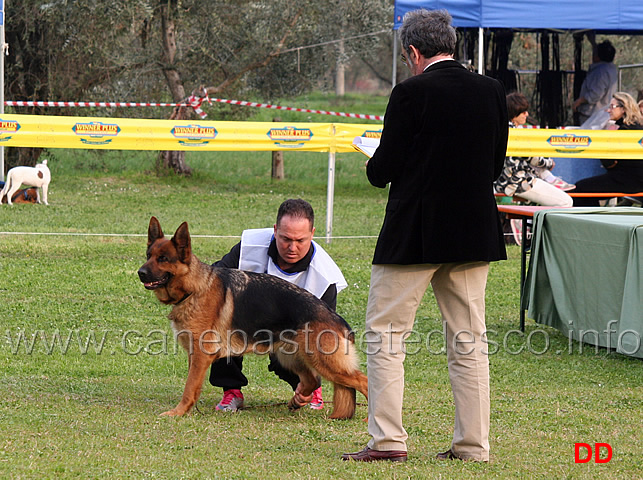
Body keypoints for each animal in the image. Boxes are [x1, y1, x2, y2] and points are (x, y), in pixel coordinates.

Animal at [137, 218, 368, 420]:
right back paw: (296, 402)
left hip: (325, 362)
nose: (140, 272)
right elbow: (192, 386)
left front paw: (177, 413)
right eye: (149, 255)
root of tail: (336, 317)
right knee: (312, 380)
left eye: (163, 258)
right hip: (290, 357)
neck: (194, 288)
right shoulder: (195, 355)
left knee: (363, 381)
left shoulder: (202, 355)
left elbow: (189, 387)